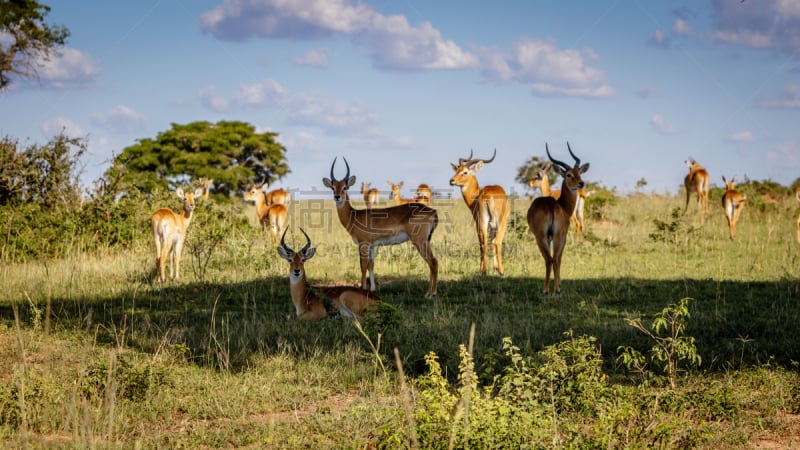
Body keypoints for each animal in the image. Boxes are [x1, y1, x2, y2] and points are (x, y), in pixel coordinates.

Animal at [324, 158, 440, 298]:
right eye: (333, 187)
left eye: (345, 187)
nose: (337, 197)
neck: (354, 216)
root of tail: (433, 211)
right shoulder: (372, 245)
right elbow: (371, 265)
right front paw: (373, 289)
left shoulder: (363, 244)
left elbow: (363, 266)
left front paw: (363, 289)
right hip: (425, 240)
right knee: (431, 263)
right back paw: (429, 292)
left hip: (420, 241)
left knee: (433, 262)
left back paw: (431, 294)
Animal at [528, 142, 592, 294]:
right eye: (568, 174)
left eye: (579, 172)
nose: (581, 183)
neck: (562, 204)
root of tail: (550, 206)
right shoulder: (563, 235)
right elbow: (560, 258)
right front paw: (559, 284)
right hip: (553, 236)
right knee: (553, 259)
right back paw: (554, 289)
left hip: (543, 237)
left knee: (549, 259)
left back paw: (547, 289)